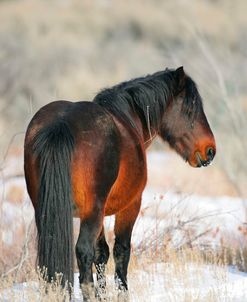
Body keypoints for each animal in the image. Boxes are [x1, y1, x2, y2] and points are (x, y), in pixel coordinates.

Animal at [23, 66, 216, 300]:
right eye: (189, 108)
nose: (210, 150)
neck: (129, 119)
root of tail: (61, 124)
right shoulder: (130, 206)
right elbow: (121, 252)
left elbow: (102, 254)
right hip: (93, 213)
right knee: (84, 252)